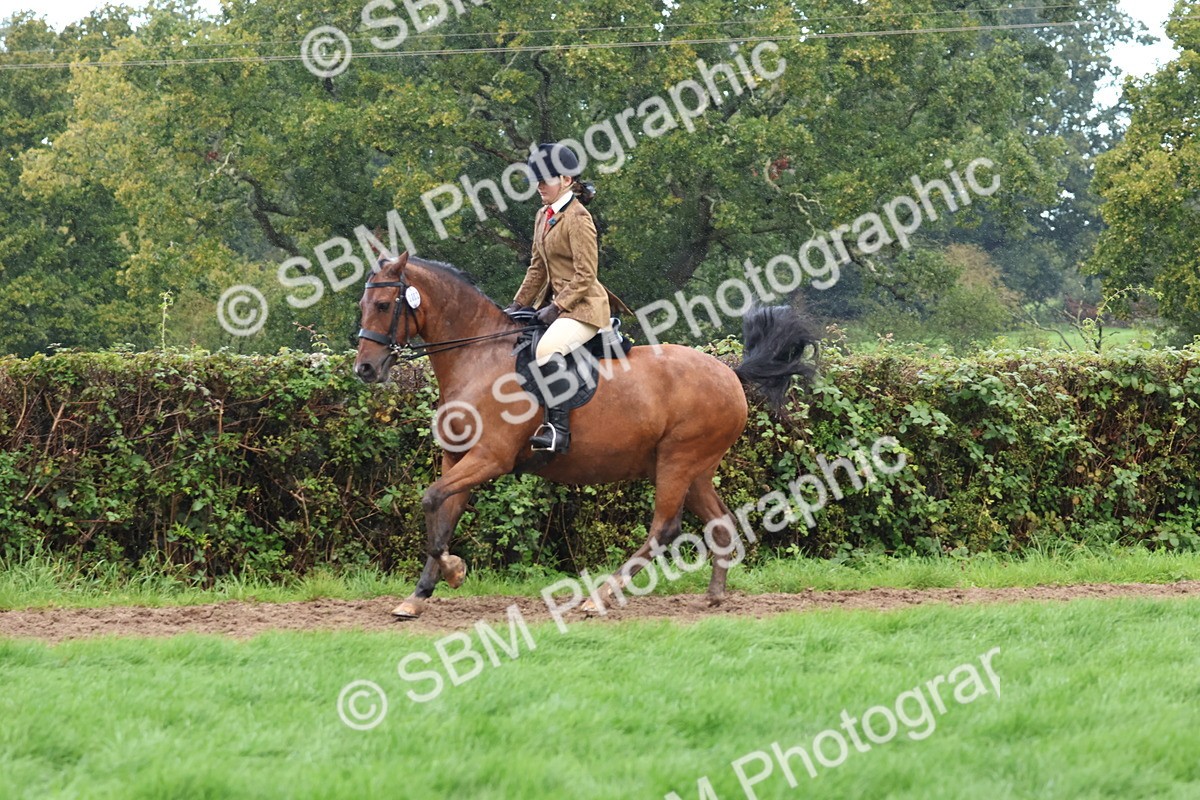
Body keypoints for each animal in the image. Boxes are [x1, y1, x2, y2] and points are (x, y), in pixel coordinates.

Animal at [353, 252, 818, 618]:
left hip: (678, 461)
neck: (479, 357)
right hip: (696, 469)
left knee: (665, 528)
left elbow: (431, 499)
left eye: (383, 304)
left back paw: (601, 597)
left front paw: (453, 571)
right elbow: (442, 515)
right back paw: (715, 595)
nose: (365, 369)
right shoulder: (458, 458)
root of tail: (730, 374)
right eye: (362, 304)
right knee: (719, 522)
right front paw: (419, 595)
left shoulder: (490, 458)